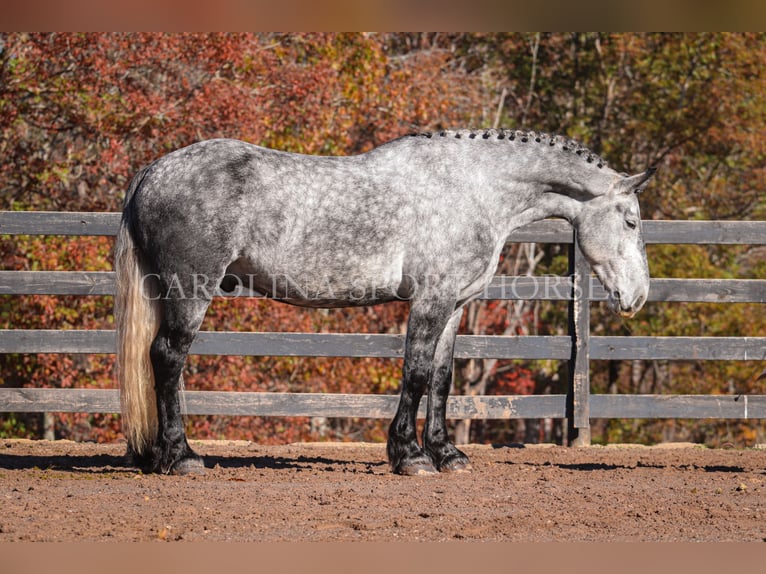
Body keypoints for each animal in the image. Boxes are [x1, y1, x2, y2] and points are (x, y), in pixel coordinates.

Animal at [114, 129, 656, 476]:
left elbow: (441, 379)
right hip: (190, 292)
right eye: (630, 221)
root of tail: (153, 172)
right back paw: (182, 457)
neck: (473, 187)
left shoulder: (454, 305)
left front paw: (446, 455)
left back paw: (156, 456)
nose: (637, 296)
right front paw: (411, 457)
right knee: (168, 359)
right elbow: (415, 373)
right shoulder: (430, 300)